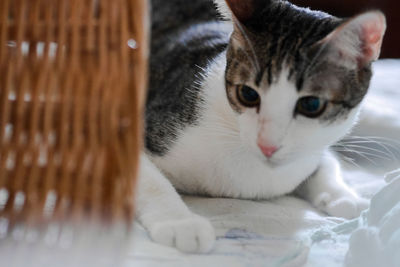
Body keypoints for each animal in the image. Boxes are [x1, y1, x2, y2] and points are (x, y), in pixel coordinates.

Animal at [136, 0, 386, 253]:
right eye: (247, 94)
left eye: (311, 104)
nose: (267, 145)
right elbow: (149, 179)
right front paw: (180, 223)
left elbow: (325, 161)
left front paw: (345, 196)